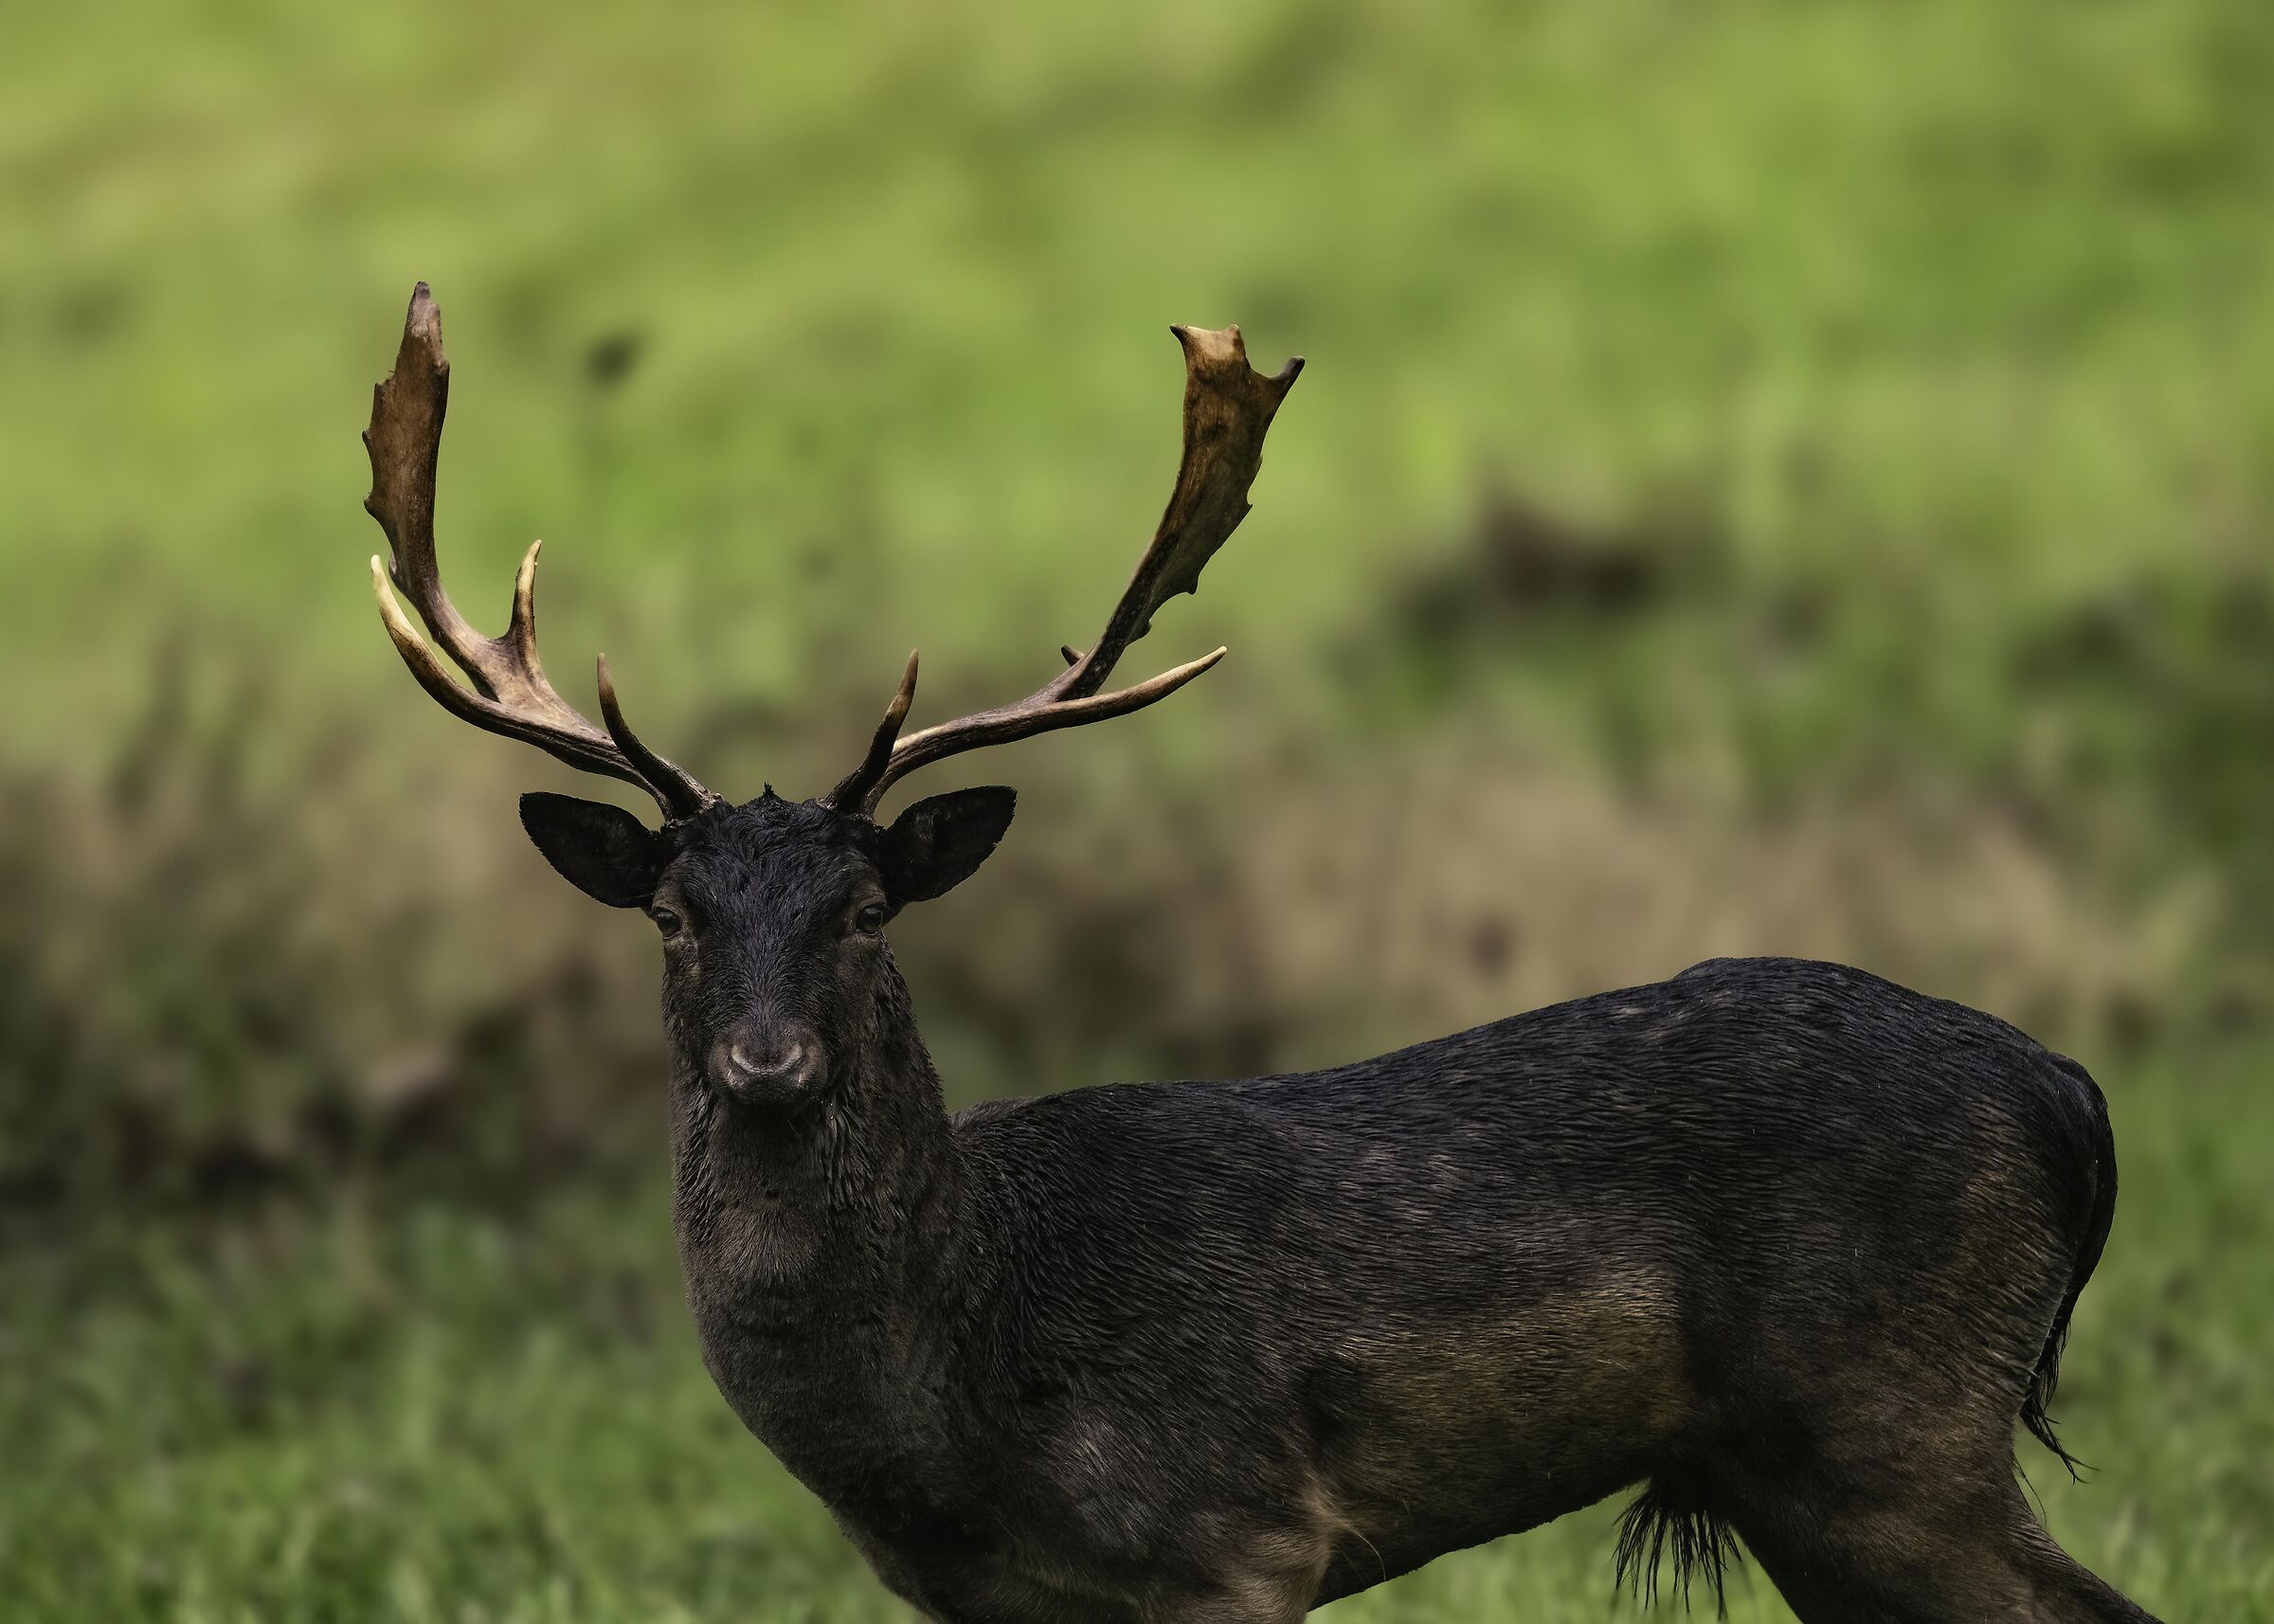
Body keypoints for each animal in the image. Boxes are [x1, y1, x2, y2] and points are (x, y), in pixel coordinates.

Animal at [361, 282, 2162, 1624]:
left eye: (865, 911)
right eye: (674, 916)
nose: (766, 1058)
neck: (959, 1403)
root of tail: (2070, 1095)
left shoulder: (1234, 1524)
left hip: (1893, 1425)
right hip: (1803, 1471)